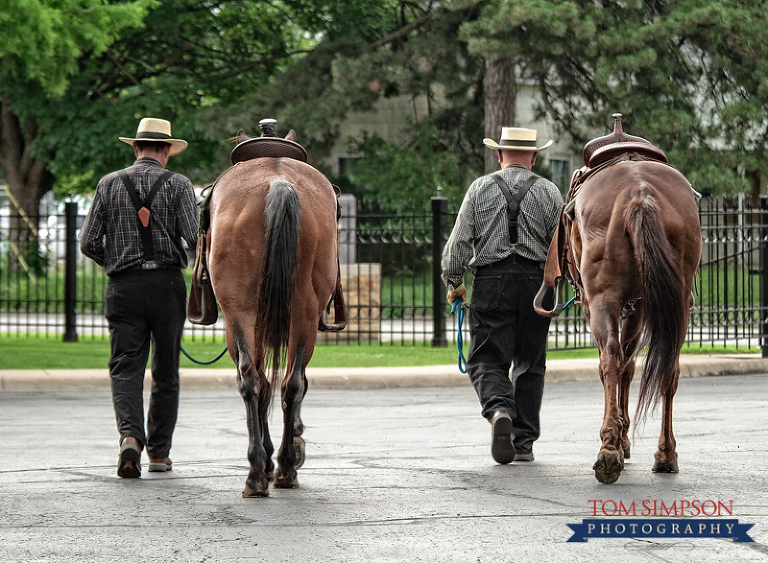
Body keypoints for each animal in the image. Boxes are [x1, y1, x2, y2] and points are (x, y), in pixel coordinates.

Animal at [206, 133, 341, 497]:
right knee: (290, 382)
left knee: (255, 380)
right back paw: (280, 468)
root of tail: (278, 182)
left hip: (241, 314)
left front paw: (270, 457)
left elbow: (263, 383)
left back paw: (263, 470)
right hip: (300, 315)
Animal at [536, 115, 702, 484]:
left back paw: (609, 450)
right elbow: (630, 364)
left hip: (602, 300)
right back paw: (666, 454)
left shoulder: (610, 306)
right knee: (667, 366)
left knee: (610, 358)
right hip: (675, 303)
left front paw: (621, 439)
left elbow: (618, 365)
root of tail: (639, 193)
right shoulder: (640, 308)